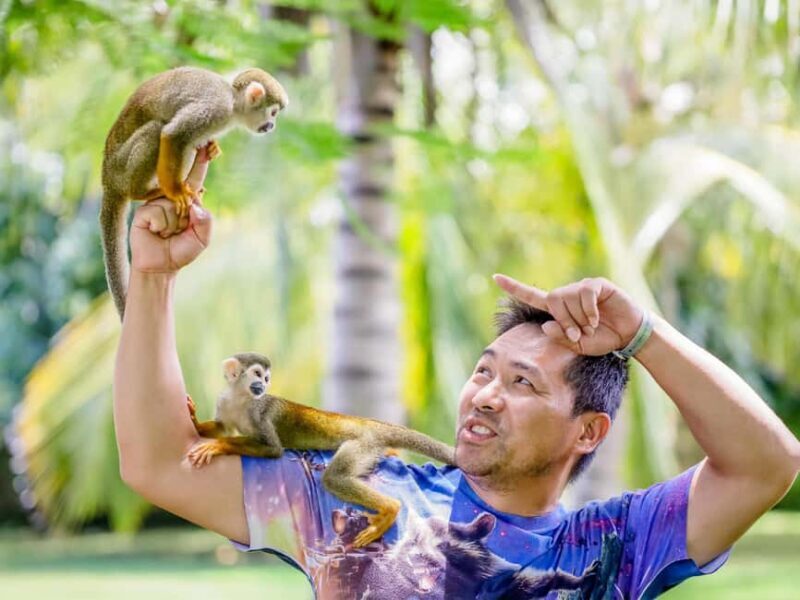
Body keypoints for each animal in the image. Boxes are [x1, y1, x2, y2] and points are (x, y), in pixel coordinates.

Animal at [100, 66, 288, 319]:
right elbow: (172, 134)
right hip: (121, 168)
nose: (272, 126)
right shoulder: (215, 109)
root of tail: (107, 179)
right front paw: (175, 192)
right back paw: (143, 191)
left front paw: (211, 148)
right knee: (157, 130)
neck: (233, 102)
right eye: (273, 112)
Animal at [185, 353, 456, 548]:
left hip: (361, 444)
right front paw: (197, 423)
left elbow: (273, 449)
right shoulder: (224, 401)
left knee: (334, 478)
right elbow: (222, 428)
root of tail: (368, 422)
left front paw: (219, 446)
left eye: (266, 378)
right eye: (257, 374)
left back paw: (390, 508)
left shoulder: (260, 412)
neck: (241, 399)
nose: (262, 385)